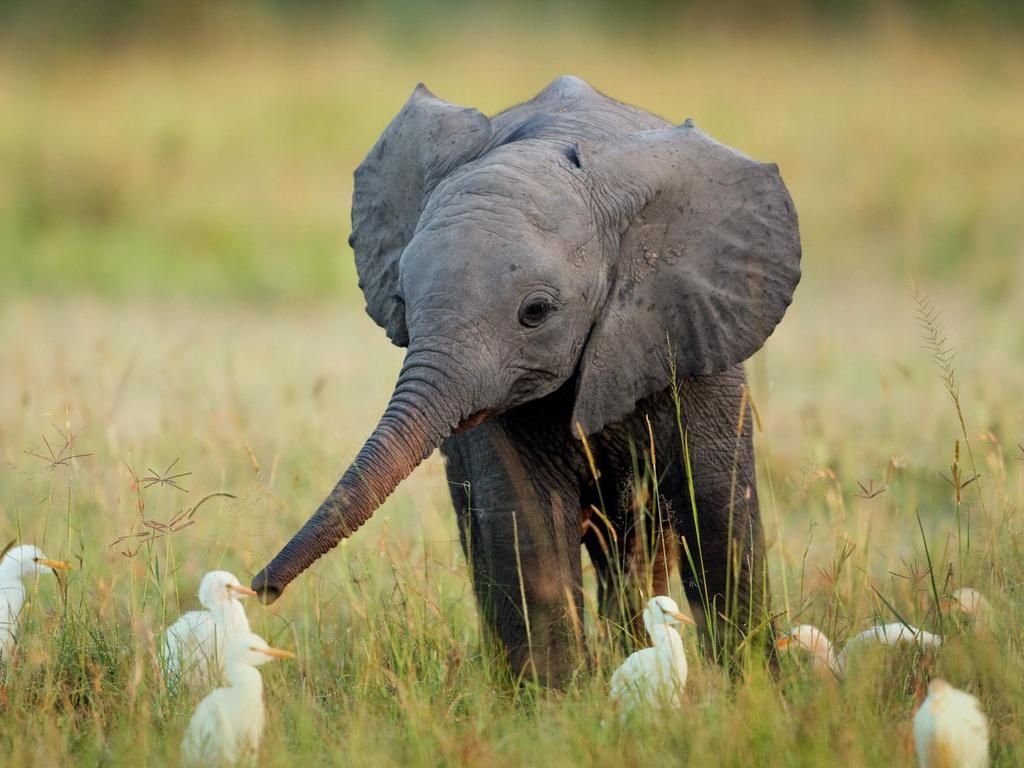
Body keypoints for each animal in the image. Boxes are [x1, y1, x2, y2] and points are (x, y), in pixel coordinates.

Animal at [252, 76, 801, 686]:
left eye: (535, 312)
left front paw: (755, 689)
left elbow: (718, 511)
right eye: (401, 301)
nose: (261, 590)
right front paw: (554, 702)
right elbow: (526, 523)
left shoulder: (694, 329)